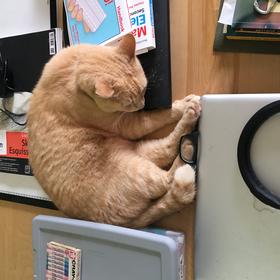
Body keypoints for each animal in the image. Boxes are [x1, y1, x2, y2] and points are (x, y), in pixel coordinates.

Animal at [27, 34, 200, 229]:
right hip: (139, 169)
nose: (141, 106)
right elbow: (161, 114)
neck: (72, 70)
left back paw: (187, 143)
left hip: (142, 150)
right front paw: (182, 106)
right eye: (129, 103)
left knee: (167, 149)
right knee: (169, 177)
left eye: (143, 90)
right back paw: (189, 127)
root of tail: (124, 224)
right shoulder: (129, 125)